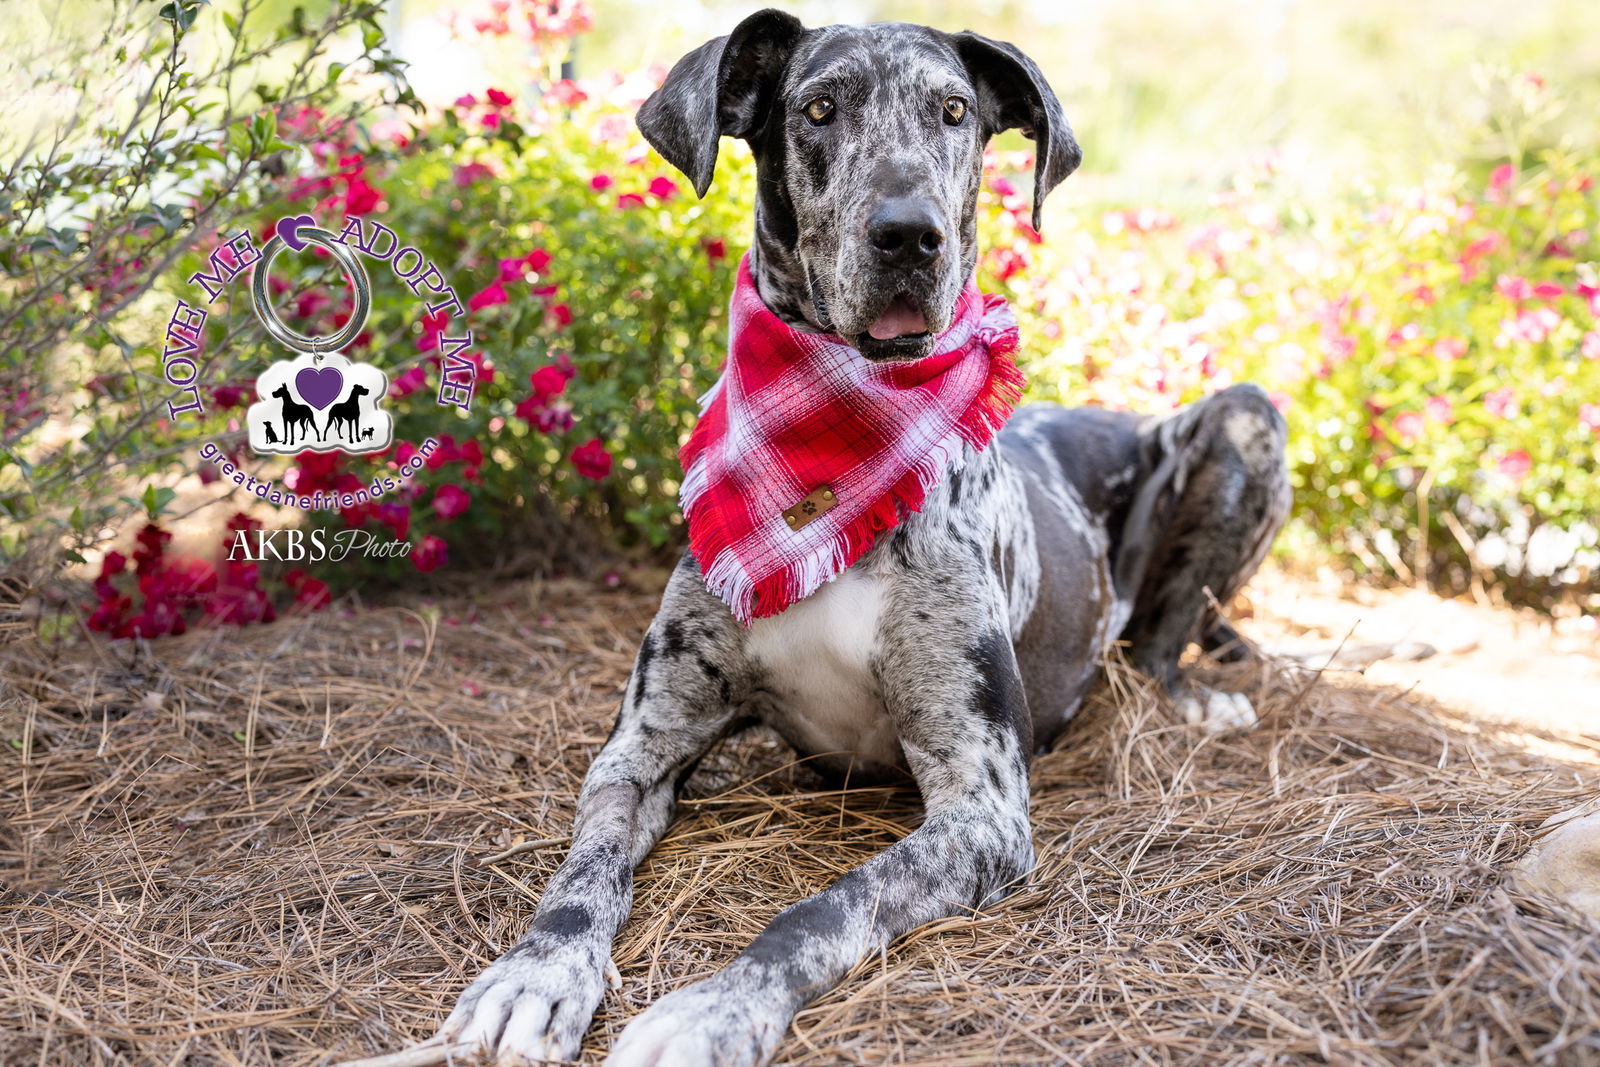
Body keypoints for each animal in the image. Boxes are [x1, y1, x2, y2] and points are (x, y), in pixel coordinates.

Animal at [435, 10, 1286, 1067]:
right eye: (818, 108)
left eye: (954, 109)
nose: (909, 232)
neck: (842, 453)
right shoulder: (640, 747)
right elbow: (580, 873)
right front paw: (536, 972)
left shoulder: (981, 803)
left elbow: (828, 907)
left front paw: (713, 1010)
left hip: (1249, 417)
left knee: (1161, 643)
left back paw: (1198, 700)